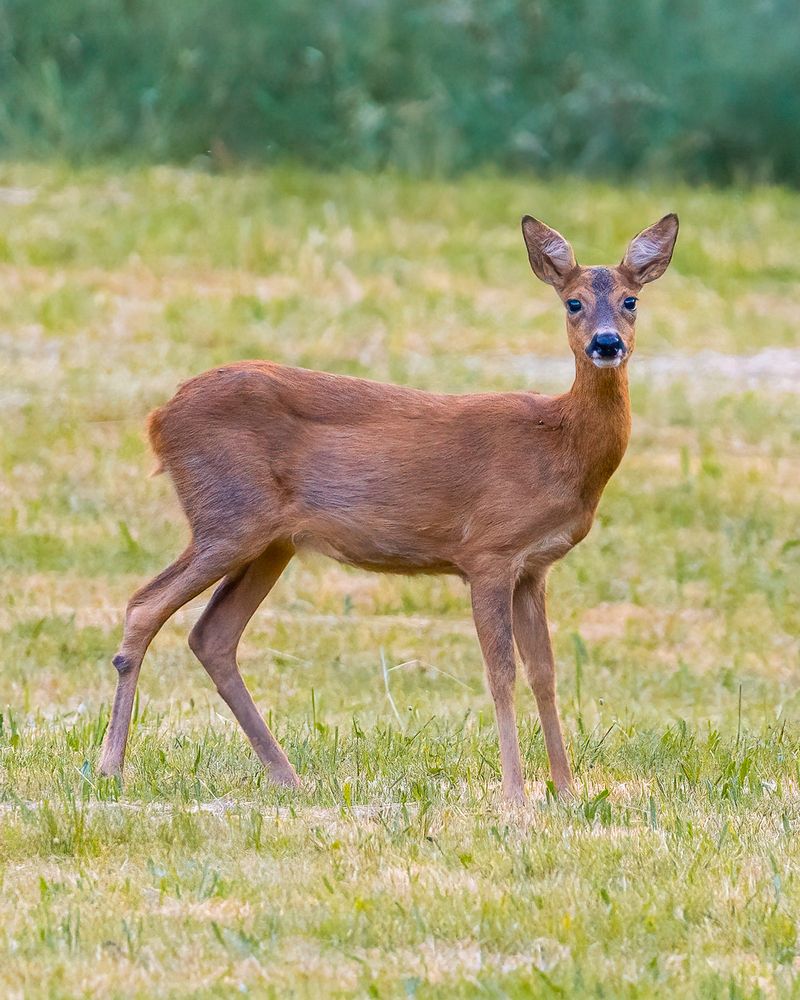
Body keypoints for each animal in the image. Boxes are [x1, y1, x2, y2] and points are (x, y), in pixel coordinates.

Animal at [98, 212, 678, 803]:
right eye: (573, 302)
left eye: (631, 300)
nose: (606, 344)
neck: (559, 444)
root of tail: (158, 419)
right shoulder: (488, 551)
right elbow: (501, 673)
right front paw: (515, 794)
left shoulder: (534, 567)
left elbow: (544, 672)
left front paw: (565, 789)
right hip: (227, 517)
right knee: (145, 606)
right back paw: (109, 768)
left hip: (270, 541)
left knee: (211, 636)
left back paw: (287, 775)